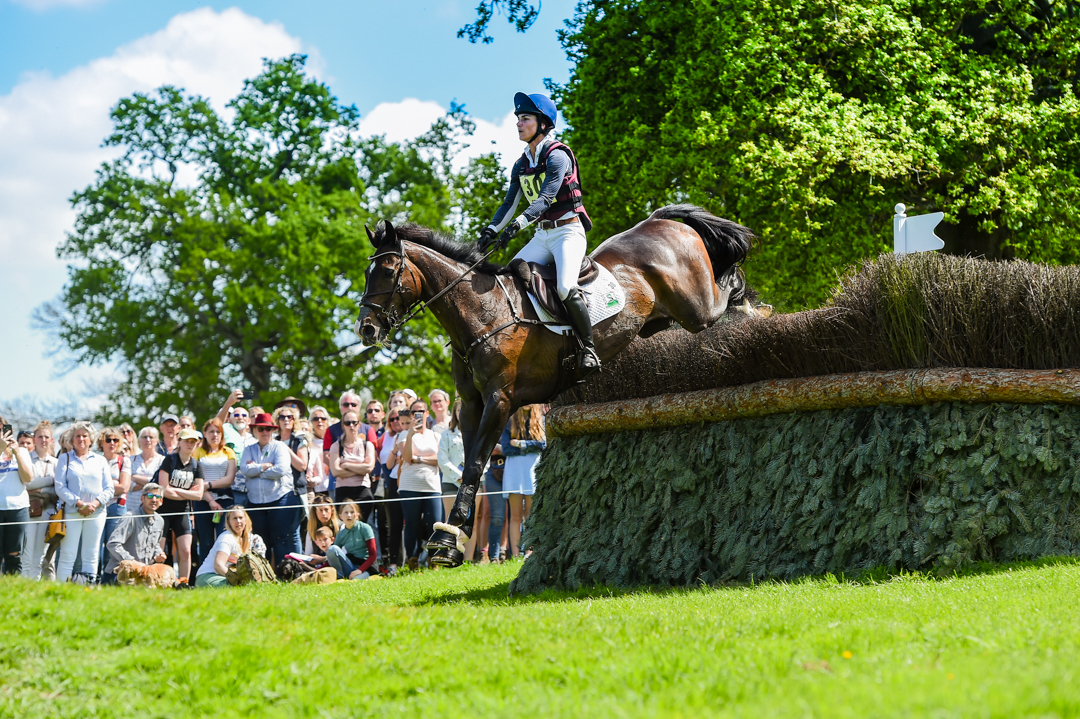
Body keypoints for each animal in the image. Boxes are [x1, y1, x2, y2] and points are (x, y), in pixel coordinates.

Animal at [354, 202, 751, 565]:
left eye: (387, 271)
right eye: (367, 271)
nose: (366, 329)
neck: (481, 313)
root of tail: (660, 221)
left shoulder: (500, 401)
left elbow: (475, 464)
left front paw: (447, 540)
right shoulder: (471, 405)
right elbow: (471, 465)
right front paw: (452, 539)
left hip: (696, 308)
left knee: (727, 290)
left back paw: (749, 309)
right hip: (662, 320)